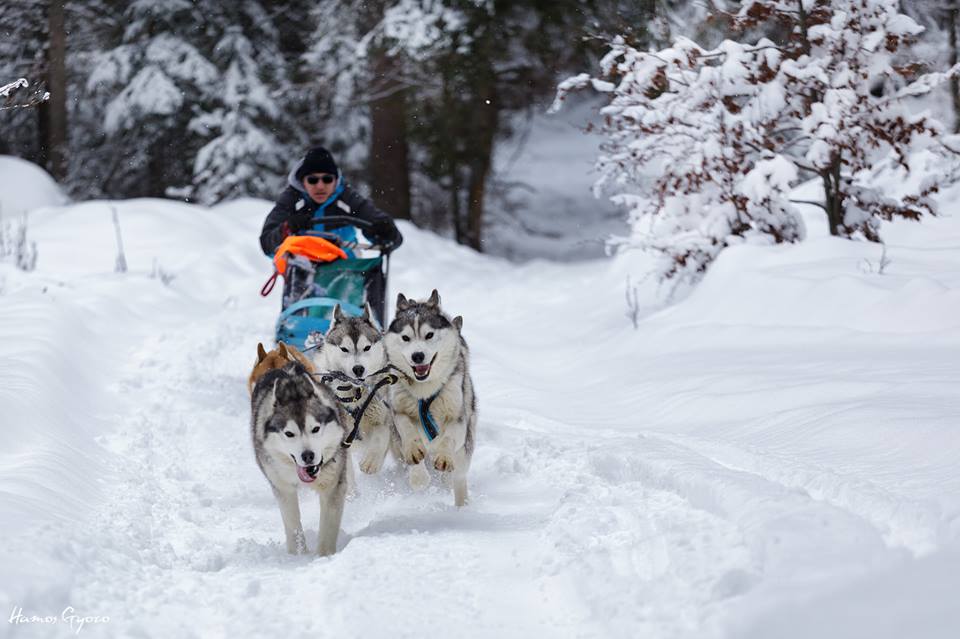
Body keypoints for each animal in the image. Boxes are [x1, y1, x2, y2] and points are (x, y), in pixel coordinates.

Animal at [251, 362, 348, 556]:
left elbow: (328, 525)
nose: (308, 455)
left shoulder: (332, 485)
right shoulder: (283, 488)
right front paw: (298, 555)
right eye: (289, 433)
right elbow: (293, 522)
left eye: (315, 429)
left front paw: (324, 556)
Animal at [316, 304, 396, 476]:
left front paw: (371, 461)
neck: (355, 394)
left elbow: (381, 434)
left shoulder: (383, 417)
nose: (358, 369)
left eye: (367, 348)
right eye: (344, 349)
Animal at [380, 292, 474, 508]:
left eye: (429, 335)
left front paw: (444, 456)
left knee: (458, 477)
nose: (418, 355)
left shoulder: (458, 418)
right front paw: (418, 474)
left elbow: (448, 438)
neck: (425, 392)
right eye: (406, 338)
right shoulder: (398, 410)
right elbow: (407, 430)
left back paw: (462, 506)